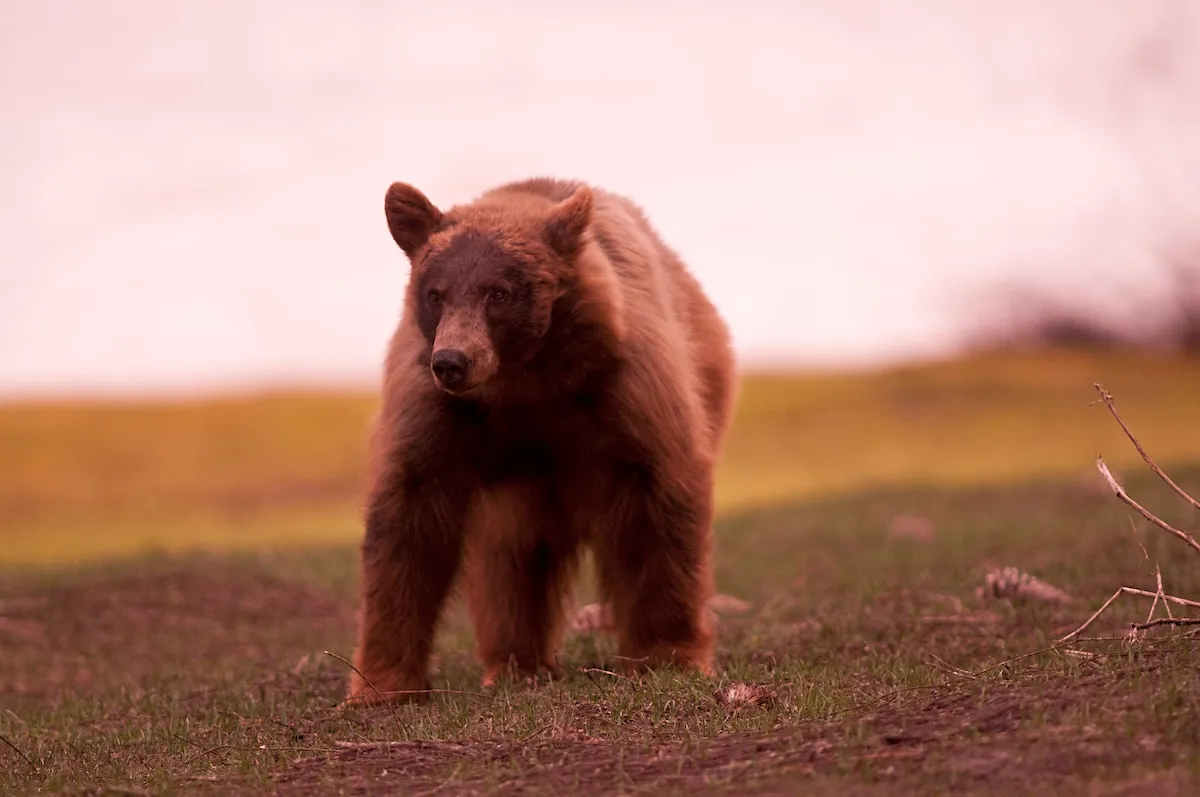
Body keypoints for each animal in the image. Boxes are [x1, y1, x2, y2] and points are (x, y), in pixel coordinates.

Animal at [346, 176, 737, 704]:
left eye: (498, 292)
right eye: (435, 293)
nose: (452, 361)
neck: (527, 381)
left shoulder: (627, 389)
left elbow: (658, 505)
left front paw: (668, 657)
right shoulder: (436, 410)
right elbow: (408, 520)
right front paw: (381, 685)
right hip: (519, 491)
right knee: (513, 557)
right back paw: (516, 663)